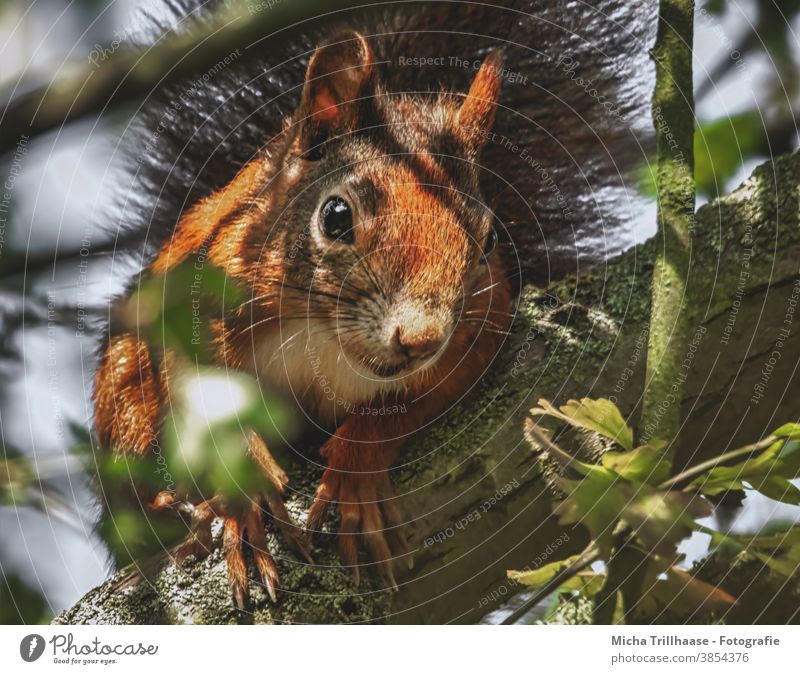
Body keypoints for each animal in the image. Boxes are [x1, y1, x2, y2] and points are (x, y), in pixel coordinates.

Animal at [90, 0, 652, 600]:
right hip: (123, 394)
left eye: (490, 241)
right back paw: (171, 506)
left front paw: (355, 471)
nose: (421, 339)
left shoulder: (476, 342)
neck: (324, 334)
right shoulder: (201, 294)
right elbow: (197, 390)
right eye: (335, 216)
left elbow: (407, 406)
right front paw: (244, 498)